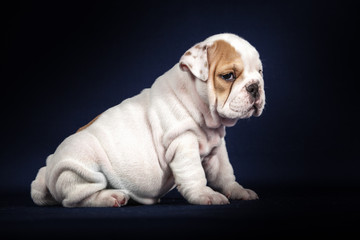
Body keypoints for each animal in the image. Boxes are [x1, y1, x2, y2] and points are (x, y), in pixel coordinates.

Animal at [31, 32, 264, 207]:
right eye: (228, 76)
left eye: (260, 72)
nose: (255, 87)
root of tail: (49, 166)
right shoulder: (182, 142)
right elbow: (194, 174)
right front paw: (205, 194)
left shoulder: (217, 149)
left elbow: (225, 173)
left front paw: (238, 191)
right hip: (79, 170)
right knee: (78, 199)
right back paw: (111, 196)